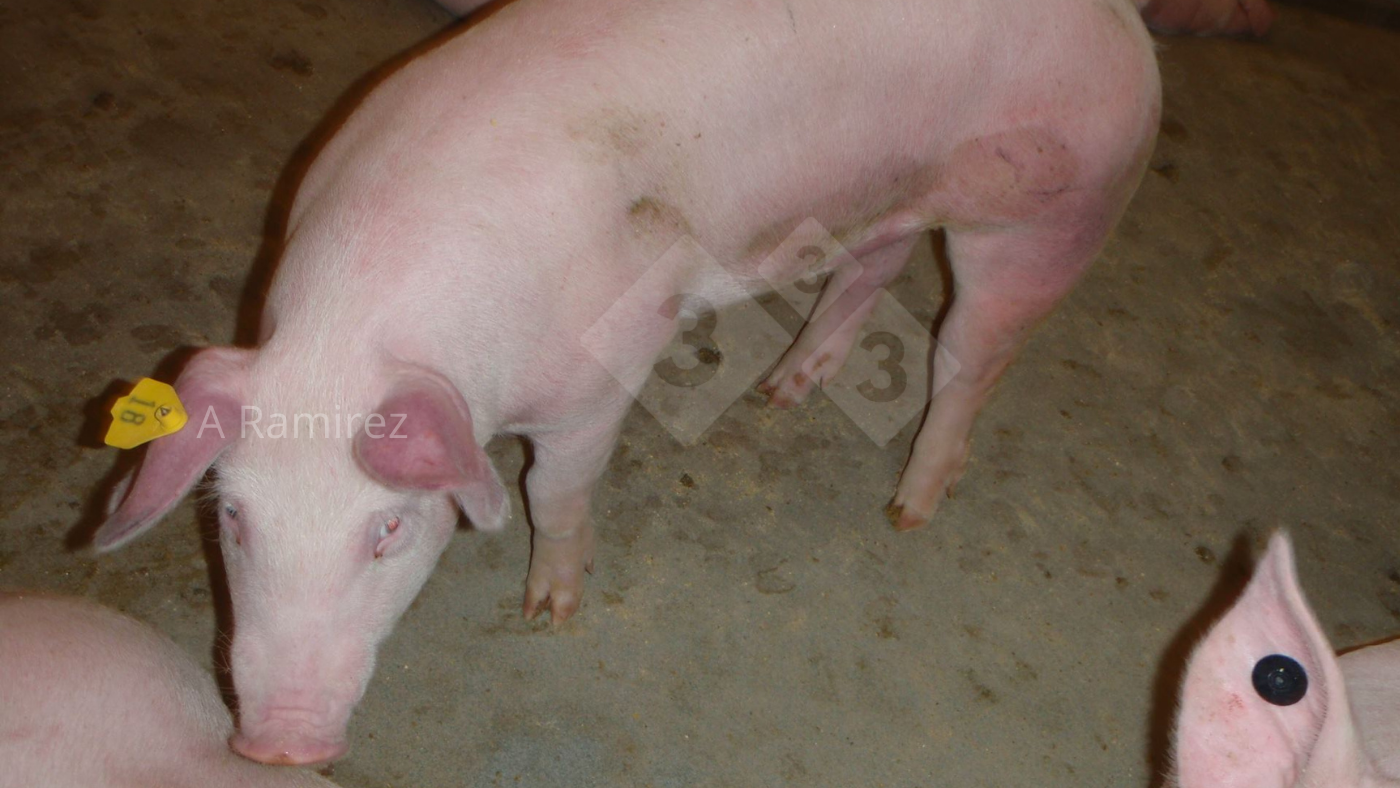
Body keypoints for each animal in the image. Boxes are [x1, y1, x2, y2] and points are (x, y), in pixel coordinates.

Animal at [94, 0, 1166, 764]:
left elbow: (552, 489)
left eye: (387, 530)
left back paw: (909, 508)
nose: (275, 747)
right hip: (881, 201)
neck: (353, 331)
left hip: (1056, 212)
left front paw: (548, 614)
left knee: (970, 353)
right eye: (234, 519)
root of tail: (1126, 30)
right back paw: (784, 389)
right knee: (877, 261)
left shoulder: (605, 367)